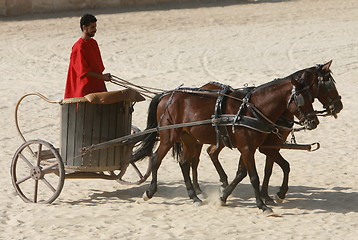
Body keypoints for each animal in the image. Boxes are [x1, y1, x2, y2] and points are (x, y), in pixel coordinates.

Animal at [133, 70, 318, 213]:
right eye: (300, 97)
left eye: (312, 96)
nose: (313, 122)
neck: (253, 110)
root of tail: (166, 95)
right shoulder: (248, 148)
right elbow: (253, 177)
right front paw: (262, 205)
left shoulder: (252, 148)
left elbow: (248, 172)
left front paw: (224, 197)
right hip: (168, 136)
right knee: (156, 159)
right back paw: (149, 192)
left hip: (189, 138)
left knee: (184, 163)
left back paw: (194, 196)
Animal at [180, 60, 342, 204]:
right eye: (329, 84)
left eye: (310, 96)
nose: (339, 106)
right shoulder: (263, 147)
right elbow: (277, 167)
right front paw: (275, 195)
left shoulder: (268, 146)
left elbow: (264, 170)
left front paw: (265, 195)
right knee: (196, 158)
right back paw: (200, 189)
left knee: (209, 153)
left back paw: (217, 185)